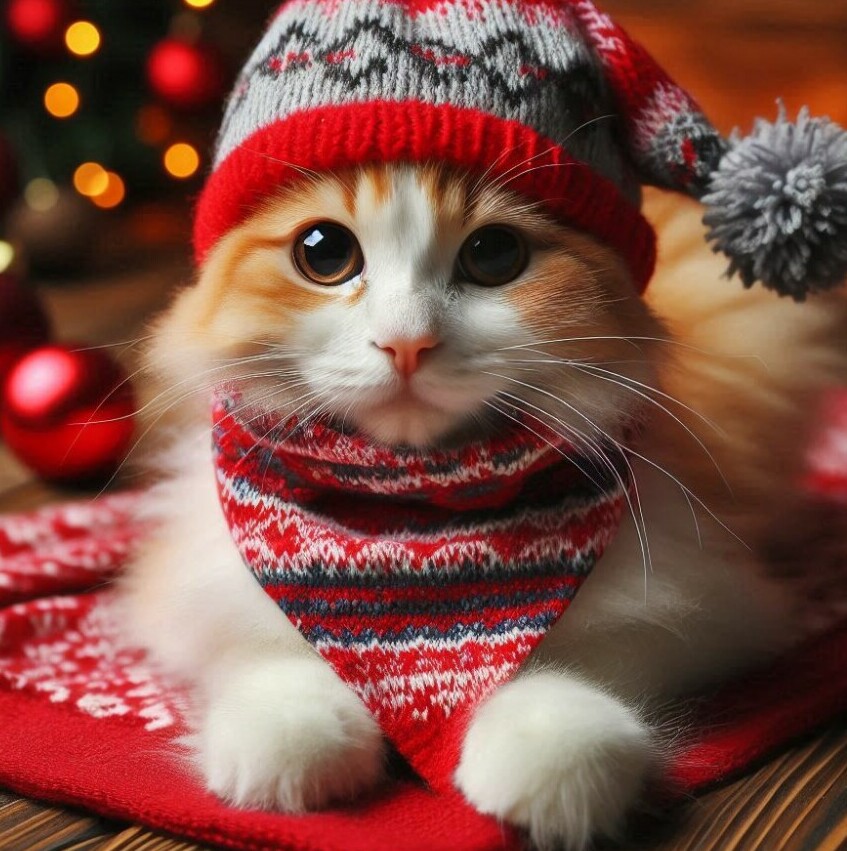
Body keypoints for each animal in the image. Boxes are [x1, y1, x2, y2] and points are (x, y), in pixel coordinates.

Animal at [121, 163, 847, 848]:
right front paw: (291, 738)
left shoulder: (702, 601)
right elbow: (269, 650)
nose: (405, 343)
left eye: (494, 254)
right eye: (324, 253)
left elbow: (583, 655)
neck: (412, 513)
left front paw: (553, 757)